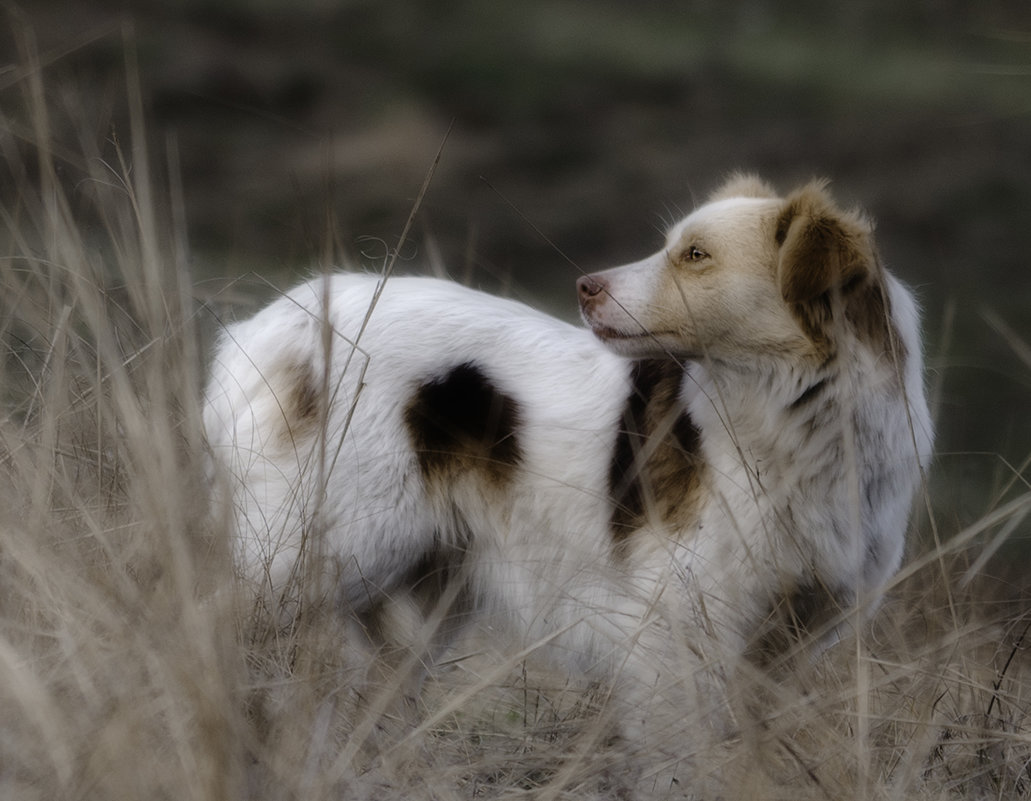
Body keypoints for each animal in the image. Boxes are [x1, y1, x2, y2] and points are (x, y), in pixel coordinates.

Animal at [203, 173, 936, 787]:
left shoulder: (788, 646)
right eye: (675, 247)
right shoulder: (677, 630)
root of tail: (264, 326)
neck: (799, 417)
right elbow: (680, 760)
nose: (585, 286)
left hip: (414, 609)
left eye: (695, 255)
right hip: (299, 558)